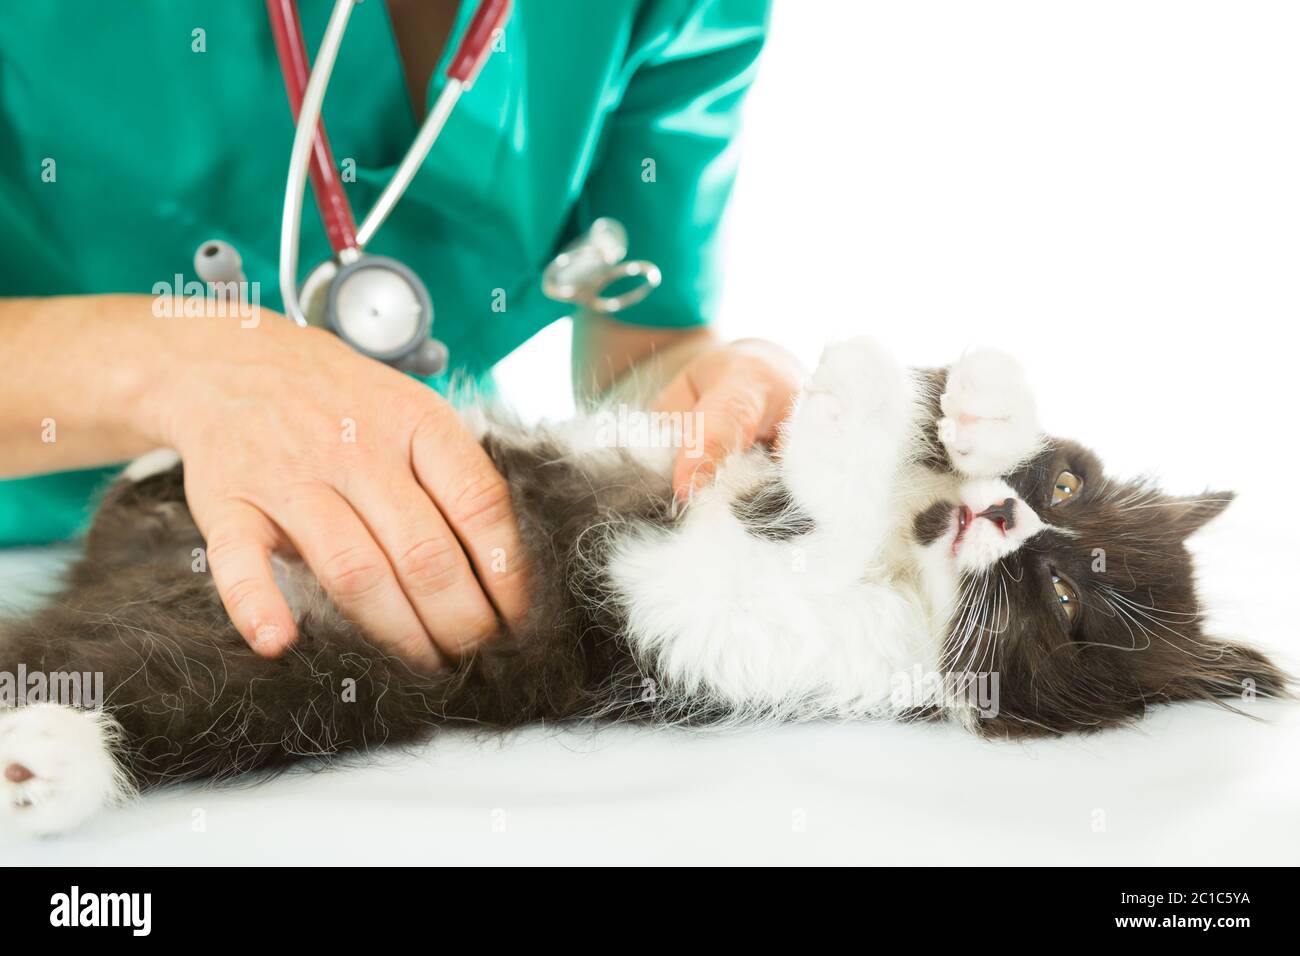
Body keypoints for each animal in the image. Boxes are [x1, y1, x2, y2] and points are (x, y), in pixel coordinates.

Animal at [0, 340, 1284, 832]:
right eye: (1066, 483)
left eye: (1062, 608)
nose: (1006, 515)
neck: (908, 565)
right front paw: (967, 400)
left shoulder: (691, 614)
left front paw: (900, 412)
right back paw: (157, 460)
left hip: (322, 671)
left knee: (180, 700)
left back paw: (44, 763)